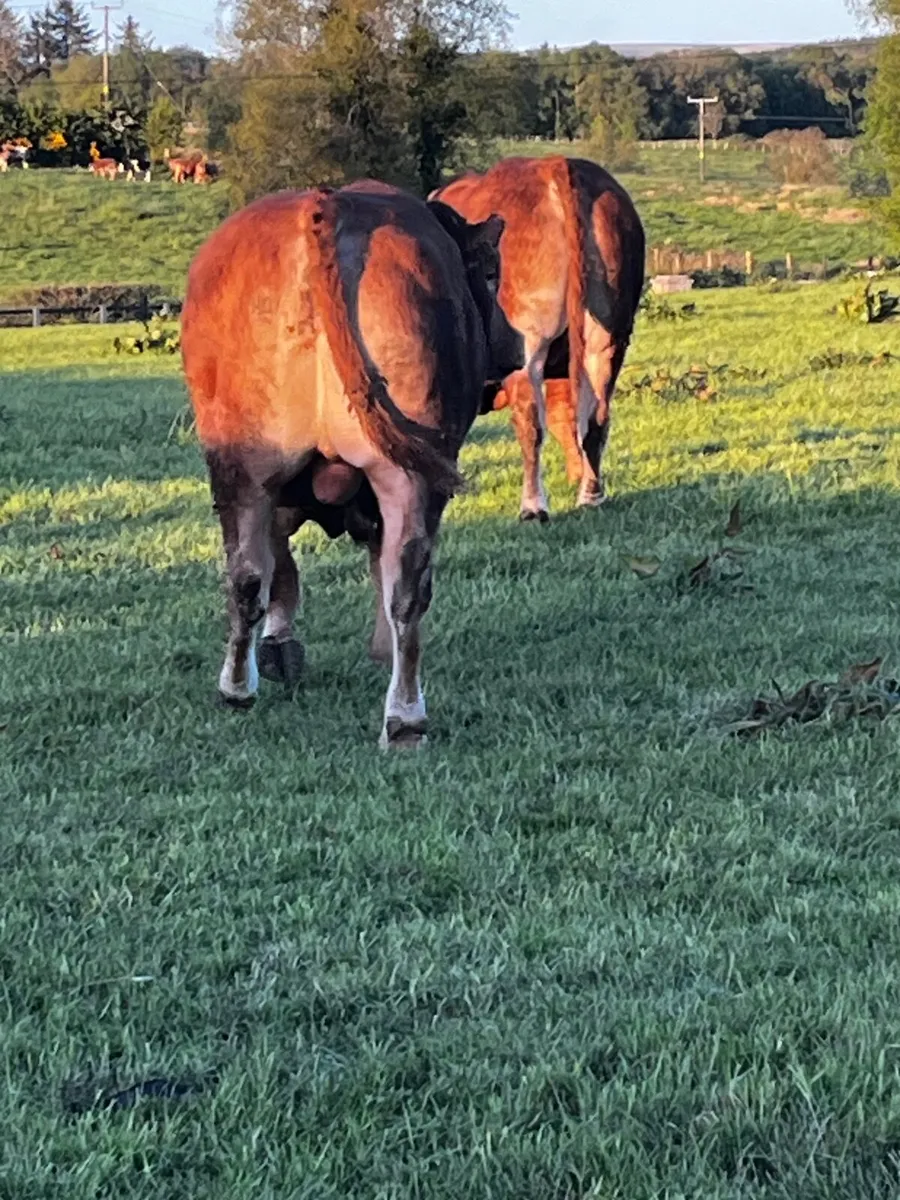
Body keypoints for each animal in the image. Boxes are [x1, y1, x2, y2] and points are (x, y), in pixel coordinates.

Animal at [181, 182, 523, 748]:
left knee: (247, 574)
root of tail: (325, 205)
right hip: (403, 473)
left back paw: (240, 688)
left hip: (242, 466)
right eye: (492, 271)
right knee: (404, 582)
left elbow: (281, 569)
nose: (516, 347)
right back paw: (402, 715)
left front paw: (278, 649)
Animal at [432, 156, 645, 521]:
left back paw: (533, 506)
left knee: (531, 422)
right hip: (607, 337)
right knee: (594, 415)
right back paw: (590, 493)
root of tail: (555, 164)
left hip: (528, 344)